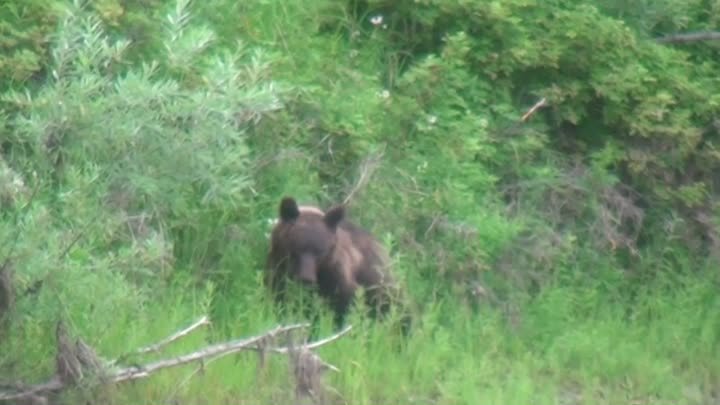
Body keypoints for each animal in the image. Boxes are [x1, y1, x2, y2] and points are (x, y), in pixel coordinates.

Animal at [266, 196, 400, 328]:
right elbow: (278, 292)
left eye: (320, 252)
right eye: (296, 248)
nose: (306, 278)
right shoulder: (278, 264)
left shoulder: (335, 272)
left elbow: (347, 299)